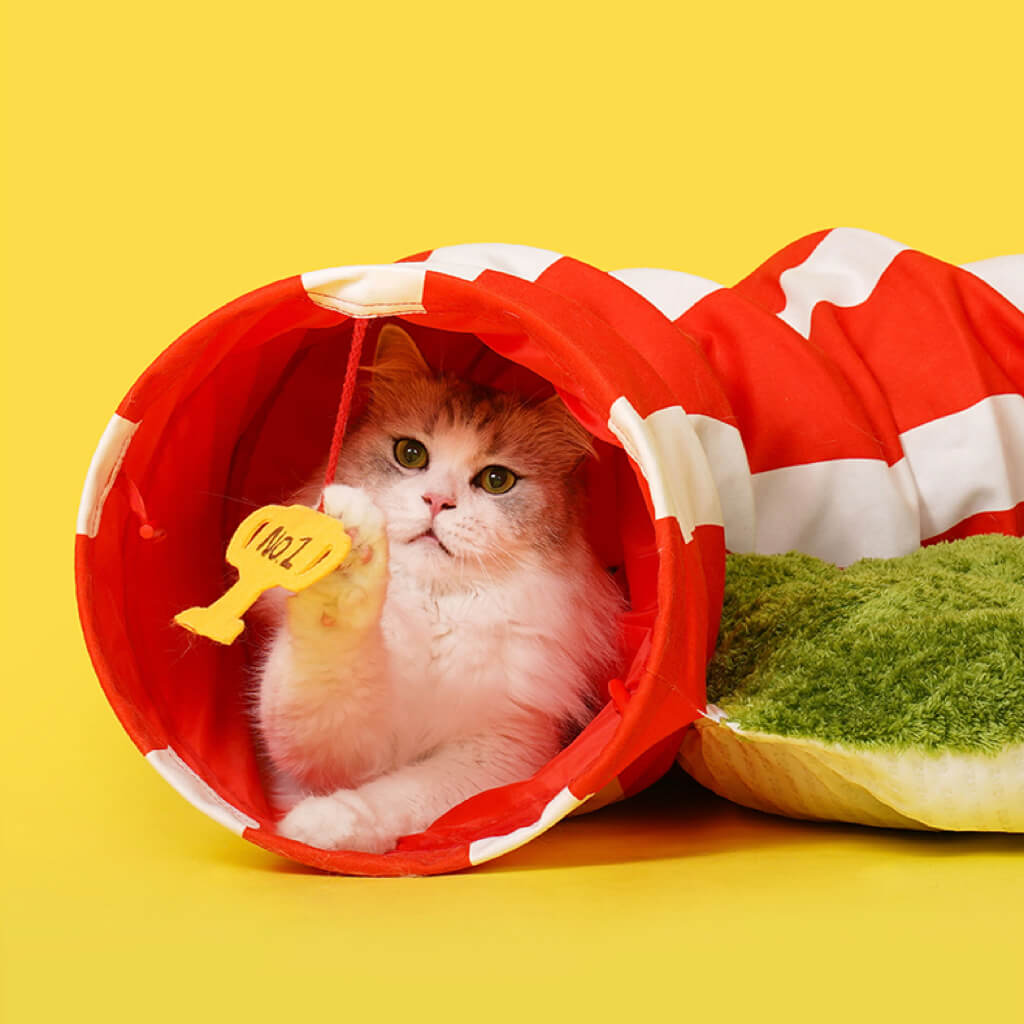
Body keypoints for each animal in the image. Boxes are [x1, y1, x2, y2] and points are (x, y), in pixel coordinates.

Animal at [256, 323, 622, 851]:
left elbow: (400, 794)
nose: (437, 500)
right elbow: (330, 661)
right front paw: (343, 560)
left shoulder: (501, 750)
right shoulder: (327, 743)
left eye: (496, 480)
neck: (437, 609)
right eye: (411, 454)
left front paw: (324, 824)